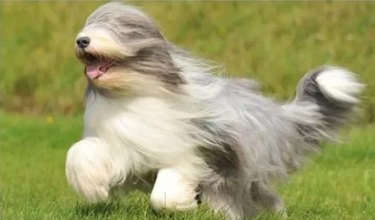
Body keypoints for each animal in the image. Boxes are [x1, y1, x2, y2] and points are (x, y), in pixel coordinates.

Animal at [66, 2, 366, 219]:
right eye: (90, 25)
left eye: (117, 27)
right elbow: (81, 152)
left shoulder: (188, 151)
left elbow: (166, 191)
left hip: (242, 171)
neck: (135, 91)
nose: (82, 40)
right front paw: (93, 189)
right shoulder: (125, 146)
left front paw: (181, 205)